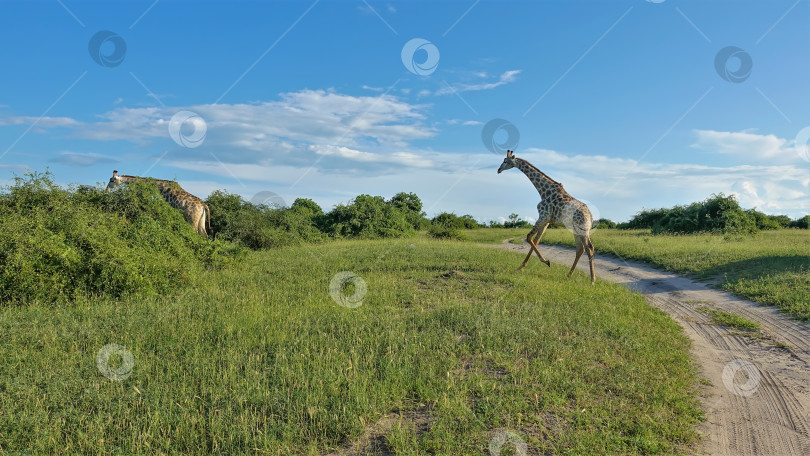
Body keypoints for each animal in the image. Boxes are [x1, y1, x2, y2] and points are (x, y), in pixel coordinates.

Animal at [492, 151, 592, 284]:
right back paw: (569, 275)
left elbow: (529, 237)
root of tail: (590, 216)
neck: (543, 191)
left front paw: (546, 261)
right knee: (581, 249)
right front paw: (521, 266)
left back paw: (592, 280)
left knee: (589, 248)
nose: (498, 170)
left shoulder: (543, 216)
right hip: (577, 230)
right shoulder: (547, 221)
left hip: (582, 229)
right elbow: (536, 240)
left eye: (505, 161)